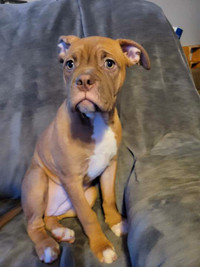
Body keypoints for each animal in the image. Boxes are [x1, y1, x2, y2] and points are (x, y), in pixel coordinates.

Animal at [21, 35, 150, 264]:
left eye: (109, 63)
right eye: (70, 64)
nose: (83, 81)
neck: (95, 119)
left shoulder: (109, 166)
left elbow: (109, 198)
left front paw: (116, 222)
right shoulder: (71, 180)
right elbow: (88, 217)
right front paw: (102, 246)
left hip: (88, 193)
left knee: (50, 217)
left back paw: (61, 232)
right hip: (37, 182)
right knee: (34, 224)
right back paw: (47, 246)